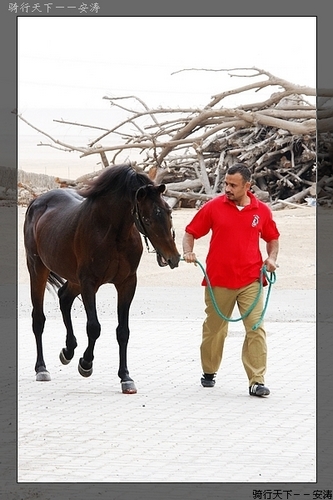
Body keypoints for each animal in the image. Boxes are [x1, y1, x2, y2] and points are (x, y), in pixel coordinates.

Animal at [23, 164, 179, 394]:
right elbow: (94, 327)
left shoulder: (127, 284)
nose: (173, 258)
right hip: (38, 270)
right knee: (38, 319)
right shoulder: (89, 283)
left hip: (74, 278)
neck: (114, 234)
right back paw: (42, 368)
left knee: (64, 298)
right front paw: (85, 364)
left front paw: (126, 377)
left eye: (169, 212)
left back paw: (68, 351)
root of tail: (36, 202)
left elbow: (123, 332)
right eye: (148, 219)